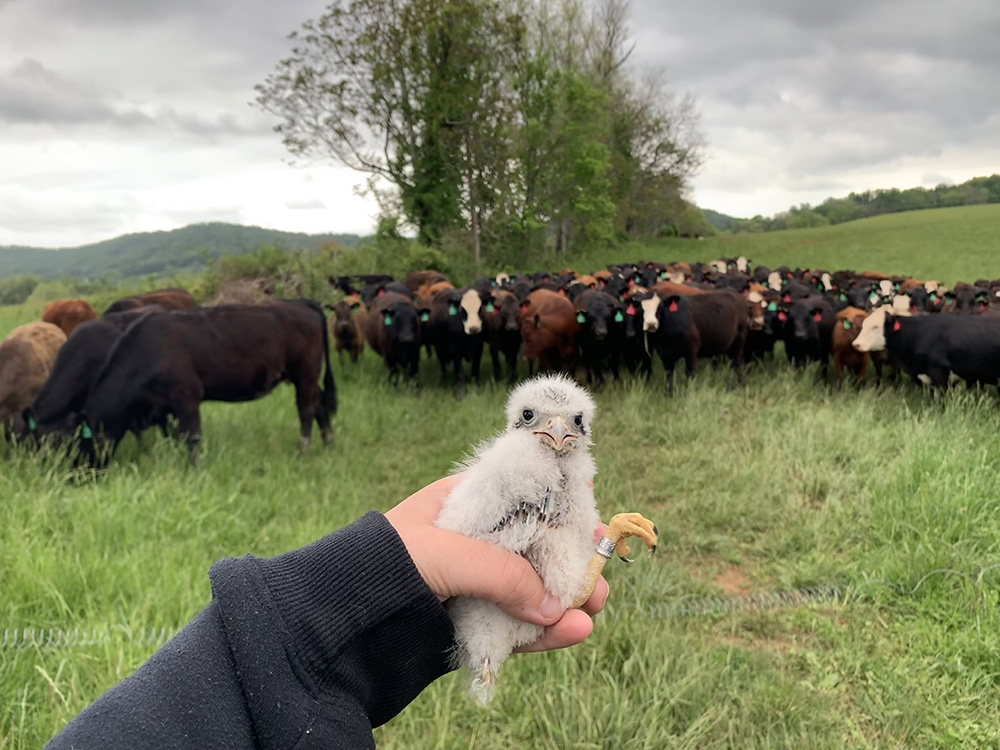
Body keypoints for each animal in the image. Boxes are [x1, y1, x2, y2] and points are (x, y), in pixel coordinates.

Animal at [78, 300, 336, 466]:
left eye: (81, 441)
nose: (76, 475)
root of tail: (301, 303)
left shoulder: (187, 399)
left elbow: (192, 438)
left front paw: (195, 469)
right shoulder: (166, 409)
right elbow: (175, 437)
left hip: (305, 373)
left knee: (306, 410)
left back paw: (303, 451)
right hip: (306, 378)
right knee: (321, 405)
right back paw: (328, 444)